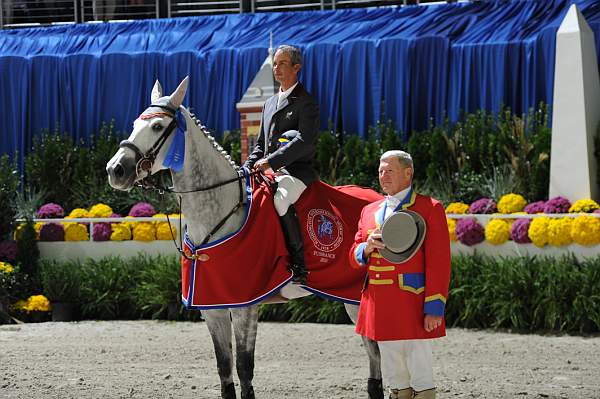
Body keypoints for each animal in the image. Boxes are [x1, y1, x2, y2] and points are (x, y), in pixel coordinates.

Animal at [106, 76, 382, 398]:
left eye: (158, 126)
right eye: (135, 123)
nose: (115, 170)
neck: (218, 213)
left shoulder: (245, 307)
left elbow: (244, 368)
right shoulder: (212, 308)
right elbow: (224, 368)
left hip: (355, 297)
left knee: (377, 350)